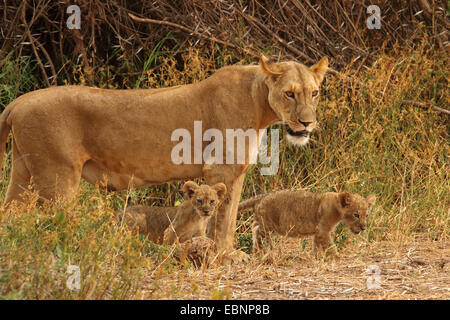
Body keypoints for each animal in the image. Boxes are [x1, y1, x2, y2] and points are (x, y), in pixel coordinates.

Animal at [1, 55, 328, 255]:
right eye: (289, 93)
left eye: (314, 93)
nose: (307, 123)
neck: (259, 102)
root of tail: (18, 102)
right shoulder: (222, 169)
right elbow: (225, 220)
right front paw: (227, 256)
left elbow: (229, 216)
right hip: (57, 179)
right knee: (53, 224)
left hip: (23, 174)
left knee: (10, 215)